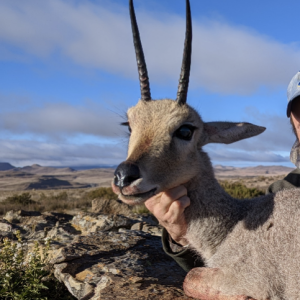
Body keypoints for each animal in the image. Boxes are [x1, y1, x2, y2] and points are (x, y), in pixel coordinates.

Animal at [110, 0, 300, 300]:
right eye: (129, 125)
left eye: (185, 130)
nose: (123, 177)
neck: (236, 221)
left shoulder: (252, 279)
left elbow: (191, 276)